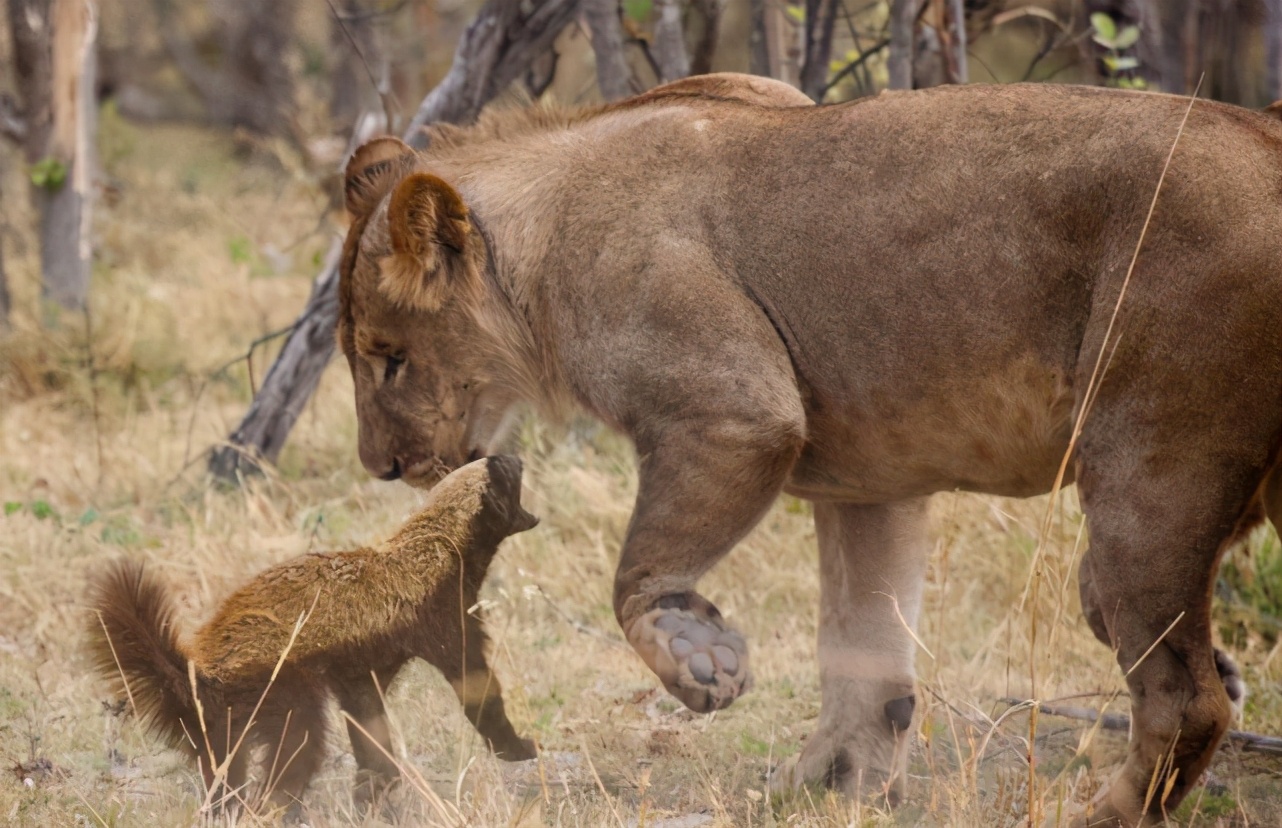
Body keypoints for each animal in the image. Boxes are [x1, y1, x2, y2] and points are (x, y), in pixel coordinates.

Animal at [85, 456, 535, 815]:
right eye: (505, 472)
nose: (516, 455)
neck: (438, 545)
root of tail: (198, 671)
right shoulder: (444, 615)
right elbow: (476, 685)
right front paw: (517, 748)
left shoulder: (360, 668)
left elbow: (368, 723)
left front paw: (375, 788)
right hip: (280, 688)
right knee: (296, 748)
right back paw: (274, 808)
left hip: (220, 728)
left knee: (223, 775)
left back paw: (227, 809)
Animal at [333, 74, 1282, 825]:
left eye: (387, 356)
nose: (381, 466)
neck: (542, 246)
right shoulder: (872, 480)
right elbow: (864, 652)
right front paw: (833, 782)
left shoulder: (737, 409)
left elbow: (637, 573)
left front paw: (699, 658)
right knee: (1147, 644)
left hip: (1153, 467)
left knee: (1184, 699)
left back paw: (1105, 811)